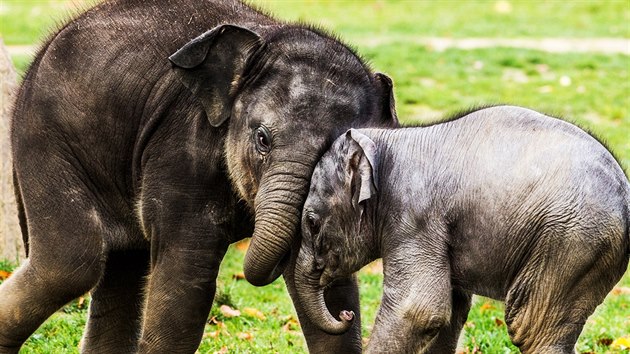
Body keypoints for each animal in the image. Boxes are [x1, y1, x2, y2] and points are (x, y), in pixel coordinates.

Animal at [0, 0, 396, 352]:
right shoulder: (182, 152)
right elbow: (185, 285)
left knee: (121, 267)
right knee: (70, 264)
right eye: (262, 139)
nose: (344, 317)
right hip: (46, 137)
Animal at [296, 106, 630, 354]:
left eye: (311, 222)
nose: (347, 315)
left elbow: (417, 309)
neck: (387, 142)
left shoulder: (414, 216)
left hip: (570, 244)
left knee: (532, 329)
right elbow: (450, 312)